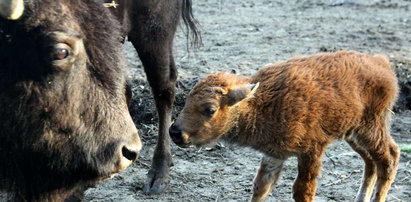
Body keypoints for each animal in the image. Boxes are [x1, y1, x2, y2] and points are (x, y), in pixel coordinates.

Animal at [171, 51, 402, 201]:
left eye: (209, 109)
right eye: (187, 100)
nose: (175, 132)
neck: (262, 101)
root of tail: (382, 63)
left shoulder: (311, 151)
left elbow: (302, 191)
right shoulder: (274, 155)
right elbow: (261, 186)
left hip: (371, 129)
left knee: (389, 158)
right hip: (353, 134)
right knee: (370, 162)